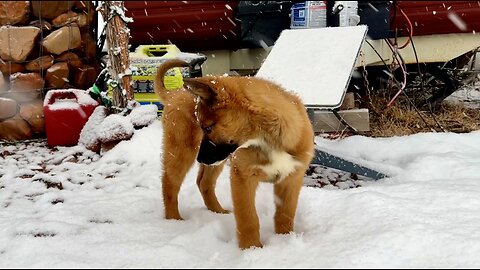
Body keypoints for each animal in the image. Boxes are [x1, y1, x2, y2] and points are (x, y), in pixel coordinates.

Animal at [156, 59, 316, 249]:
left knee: (204, 182)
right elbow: (248, 218)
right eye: (202, 127)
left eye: (207, 128)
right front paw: (251, 249)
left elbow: (285, 214)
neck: (268, 142)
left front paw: (284, 240)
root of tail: (174, 94)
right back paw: (174, 220)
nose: (200, 158)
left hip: (216, 161)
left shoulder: (291, 178)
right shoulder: (242, 177)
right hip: (182, 151)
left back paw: (217, 211)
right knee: (170, 183)